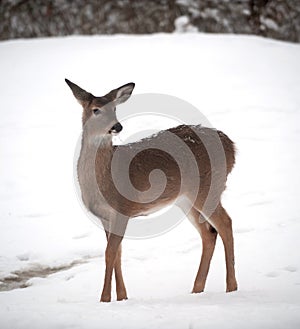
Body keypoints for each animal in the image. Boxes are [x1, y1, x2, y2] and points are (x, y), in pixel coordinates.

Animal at [66, 78, 239, 302]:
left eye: (114, 108)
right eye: (96, 110)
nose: (117, 126)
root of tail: (231, 147)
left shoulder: (123, 208)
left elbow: (109, 253)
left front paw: (104, 299)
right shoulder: (105, 217)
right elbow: (117, 254)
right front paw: (122, 298)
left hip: (209, 187)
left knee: (225, 223)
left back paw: (231, 287)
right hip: (186, 199)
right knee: (208, 233)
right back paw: (196, 289)